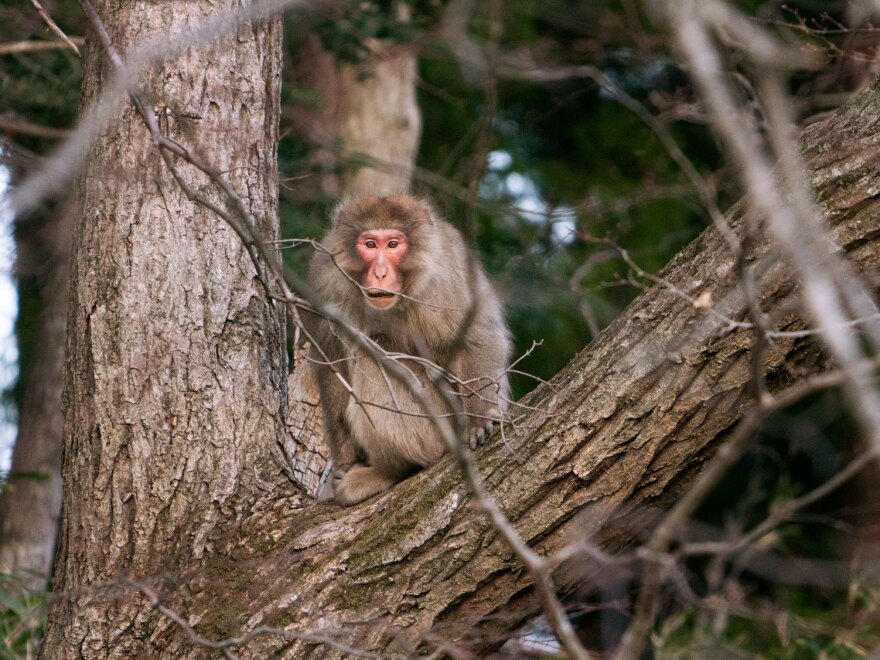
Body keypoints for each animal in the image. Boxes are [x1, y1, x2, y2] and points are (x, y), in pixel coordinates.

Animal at [304, 193, 511, 506]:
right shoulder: (325, 275)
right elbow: (332, 362)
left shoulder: (445, 274)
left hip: (442, 424)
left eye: (393, 244)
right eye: (370, 245)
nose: (380, 273)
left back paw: (389, 470)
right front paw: (344, 461)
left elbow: (476, 334)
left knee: (375, 352)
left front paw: (480, 415)